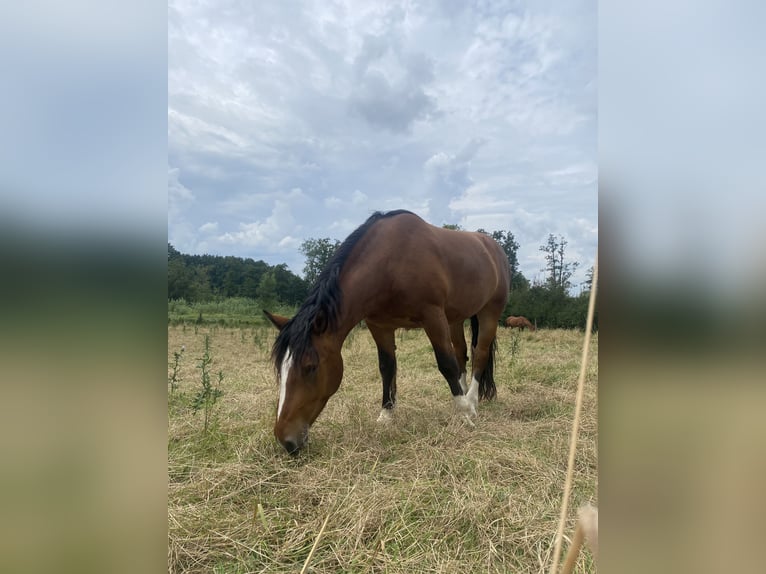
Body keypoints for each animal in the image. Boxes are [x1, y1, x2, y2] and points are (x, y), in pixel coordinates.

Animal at [262, 209, 510, 456]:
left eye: (310, 367)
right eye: (280, 370)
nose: (286, 441)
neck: (391, 262)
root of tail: (493, 247)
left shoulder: (433, 317)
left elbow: (445, 364)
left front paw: (465, 415)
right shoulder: (379, 326)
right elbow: (387, 368)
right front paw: (386, 416)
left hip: (489, 311)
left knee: (480, 353)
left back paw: (471, 401)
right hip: (456, 318)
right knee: (461, 354)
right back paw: (464, 394)